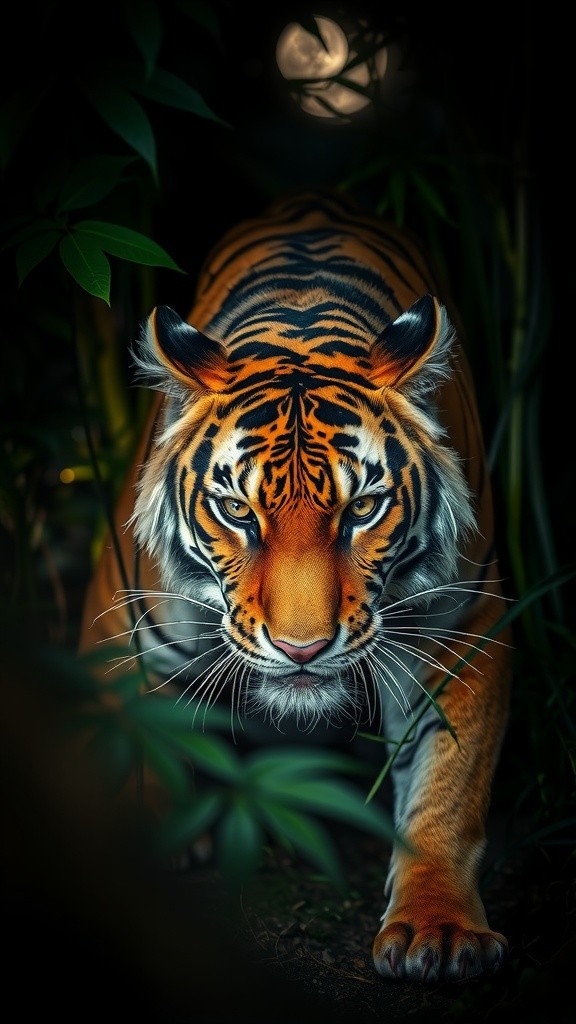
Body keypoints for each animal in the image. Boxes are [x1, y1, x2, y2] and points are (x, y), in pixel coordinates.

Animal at [79, 189, 512, 983]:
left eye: (362, 509)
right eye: (237, 511)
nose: (302, 649)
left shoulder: (464, 629)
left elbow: (448, 787)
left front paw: (439, 930)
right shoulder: (114, 627)